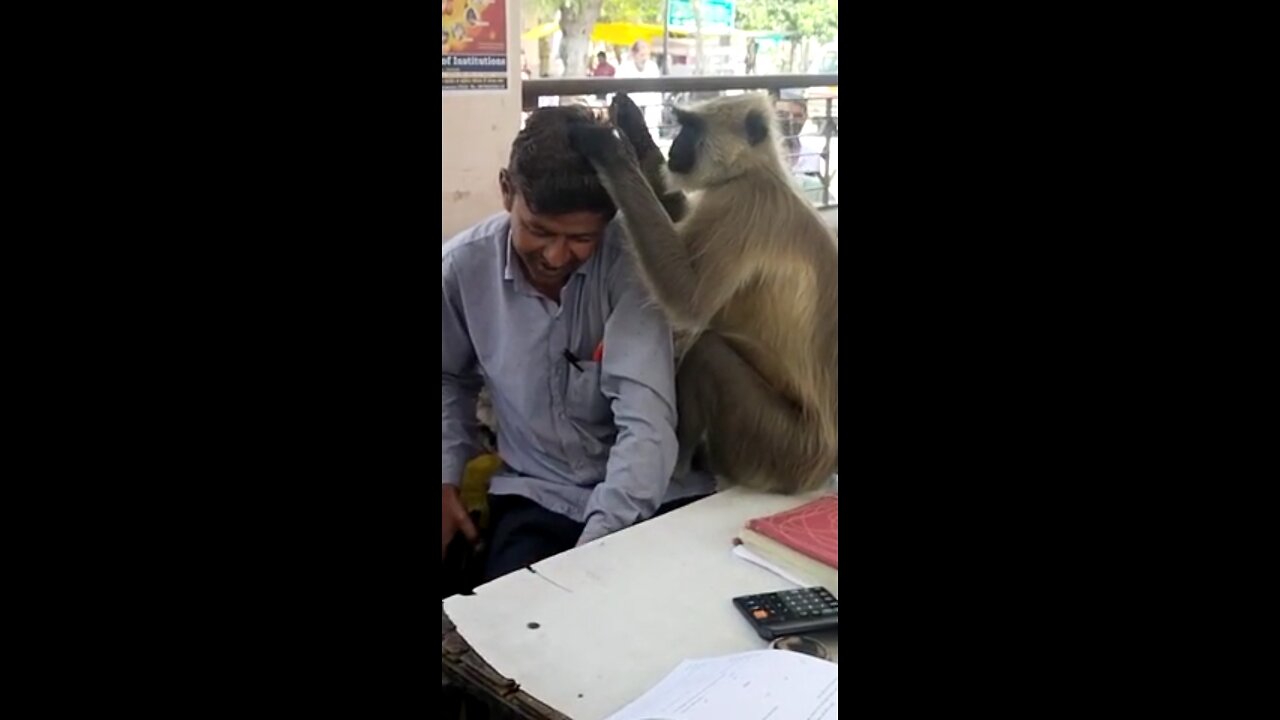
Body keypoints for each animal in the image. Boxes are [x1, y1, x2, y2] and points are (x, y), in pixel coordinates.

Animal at [570, 90, 839, 491]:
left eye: (692, 128)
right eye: (682, 125)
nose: (676, 143)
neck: (756, 170)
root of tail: (821, 470)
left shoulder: (744, 204)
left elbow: (687, 298)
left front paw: (610, 150)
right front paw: (634, 126)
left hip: (780, 446)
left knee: (706, 351)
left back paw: (680, 468)